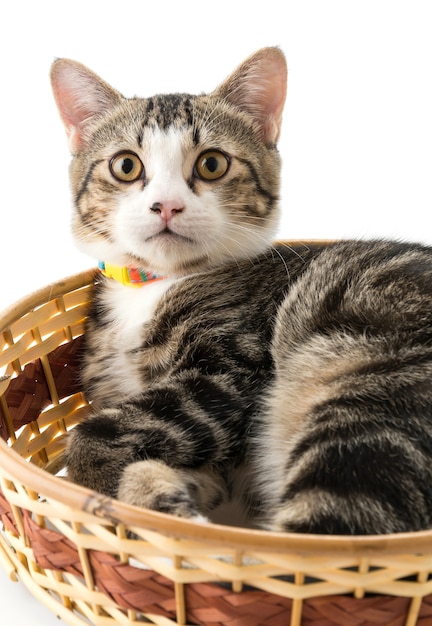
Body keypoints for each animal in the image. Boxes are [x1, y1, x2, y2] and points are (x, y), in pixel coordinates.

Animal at [50, 47, 432, 532]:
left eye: (212, 164)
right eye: (125, 165)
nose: (167, 205)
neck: (156, 284)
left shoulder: (231, 371)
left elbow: (94, 439)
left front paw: (110, 491)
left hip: (368, 403)